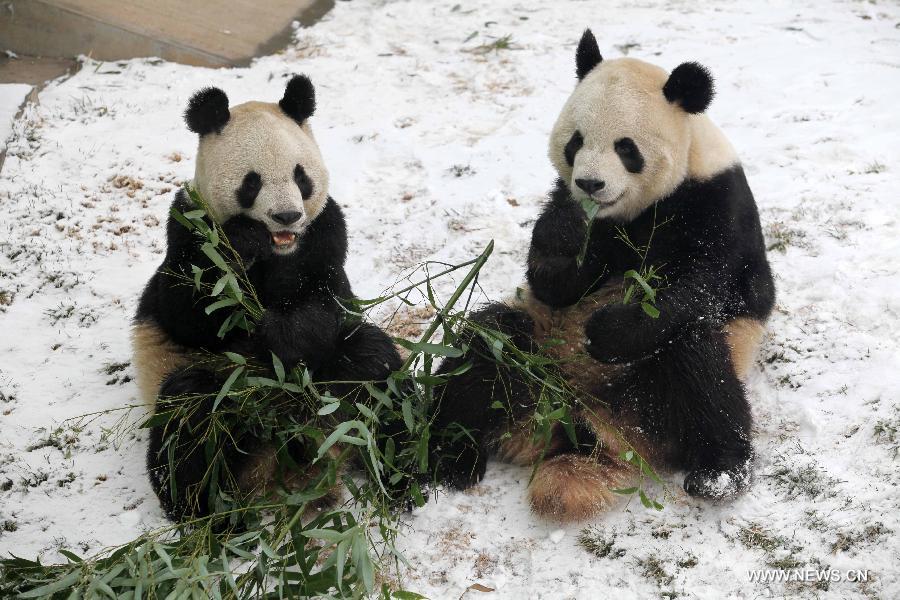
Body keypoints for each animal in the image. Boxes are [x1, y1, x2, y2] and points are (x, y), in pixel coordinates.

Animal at [132, 75, 401, 522]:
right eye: (252, 181)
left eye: (300, 176)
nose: (287, 216)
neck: (278, 251)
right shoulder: (189, 230)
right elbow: (186, 310)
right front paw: (242, 245)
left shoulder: (325, 233)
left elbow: (327, 304)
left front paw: (279, 332)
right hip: (211, 394)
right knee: (191, 418)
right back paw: (209, 517)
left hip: (339, 394)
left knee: (374, 367)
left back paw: (407, 473)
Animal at [430, 30, 775, 521]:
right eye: (575, 141)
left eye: (625, 148)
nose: (590, 184)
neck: (630, 213)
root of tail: (580, 429)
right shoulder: (567, 201)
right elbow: (554, 280)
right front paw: (566, 235)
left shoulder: (717, 203)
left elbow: (702, 286)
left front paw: (607, 332)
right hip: (534, 350)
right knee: (486, 345)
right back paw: (449, 454)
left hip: (651, 408)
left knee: (696, 362)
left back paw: (720, 473)